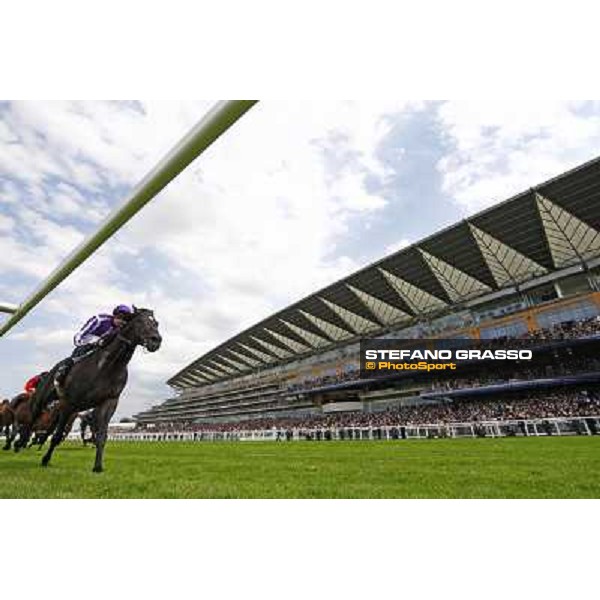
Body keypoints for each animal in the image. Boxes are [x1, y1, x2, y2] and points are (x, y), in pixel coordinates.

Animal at [29, 310, 162, 474]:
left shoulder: (108, 401)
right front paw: (45, 459)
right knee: (33, 417)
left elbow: (101, 436)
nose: (156, 340)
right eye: (139, 321)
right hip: (45, 399)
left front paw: (97, 466)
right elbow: (57, 436)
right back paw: (19, 443)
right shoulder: (70, 402)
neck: (107, 365)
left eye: (156, 323)